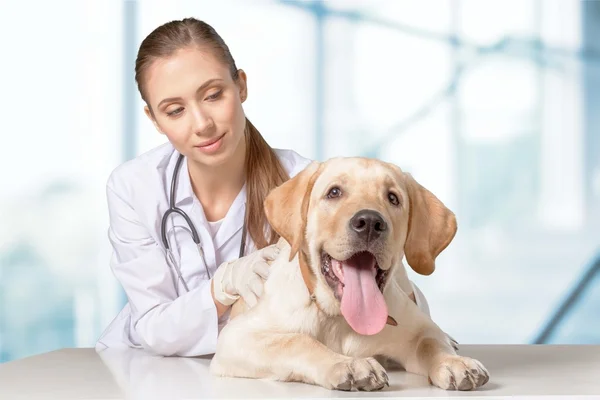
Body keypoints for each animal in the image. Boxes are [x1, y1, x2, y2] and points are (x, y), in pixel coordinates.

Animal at [209, 158, 490, 392]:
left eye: (393, 198)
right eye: (334, 192)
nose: (370, 223)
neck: (339, 319)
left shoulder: (418, 328)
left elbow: (430, 341)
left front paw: (454, 362)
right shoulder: (237, 337)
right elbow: (297, 341)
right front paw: (348, 364)